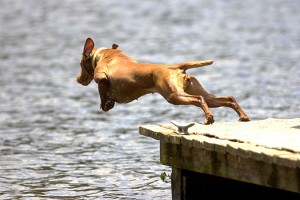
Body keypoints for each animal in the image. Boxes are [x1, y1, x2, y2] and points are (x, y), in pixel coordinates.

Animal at [77, 37, 251, 124]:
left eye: (80, 64)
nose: (78, 79)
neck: (105, 54)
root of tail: (178, 67)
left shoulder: (101, 77)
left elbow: (102, 94)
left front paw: (105, 104)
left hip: (174, 96)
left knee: (199, 99)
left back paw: (209, 118)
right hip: (201, 95)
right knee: (228, 98)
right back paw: (243, 117)